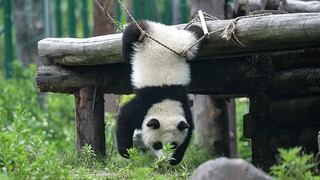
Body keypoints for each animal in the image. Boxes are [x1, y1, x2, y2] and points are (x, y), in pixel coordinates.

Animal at [116, 20, 204, 165]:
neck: (165, 102)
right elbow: (125, 117)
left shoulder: (183, 106)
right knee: (132, 32)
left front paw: (175, 159)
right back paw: (127, 54)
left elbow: (188, 130)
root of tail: (164, 29)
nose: (165, 161)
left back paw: (197, 27)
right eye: (158, 145)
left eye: (173, 144)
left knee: (196, 34)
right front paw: (126, 152)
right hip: (145, 34)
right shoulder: (144, 105)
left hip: (186, 42)